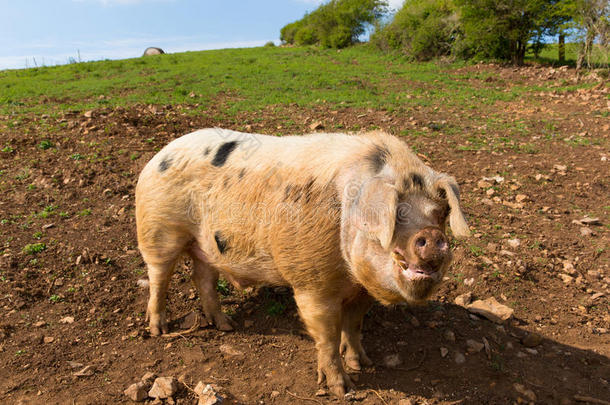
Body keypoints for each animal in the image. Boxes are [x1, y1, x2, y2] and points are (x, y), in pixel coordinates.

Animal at [135, 129, 468, 394]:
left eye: (439, 213)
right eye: (397, 213)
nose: (432, 236)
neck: (349, 277)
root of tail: (159, 154)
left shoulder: (362, 291)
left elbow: (354, 325)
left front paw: (362, 363)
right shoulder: (312, 282)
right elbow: (327, 335)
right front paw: (343, 388)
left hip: (204, 245)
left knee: (203, 277)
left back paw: (226, 326)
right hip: (158, 229)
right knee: (159, 277)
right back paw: (158, 330)